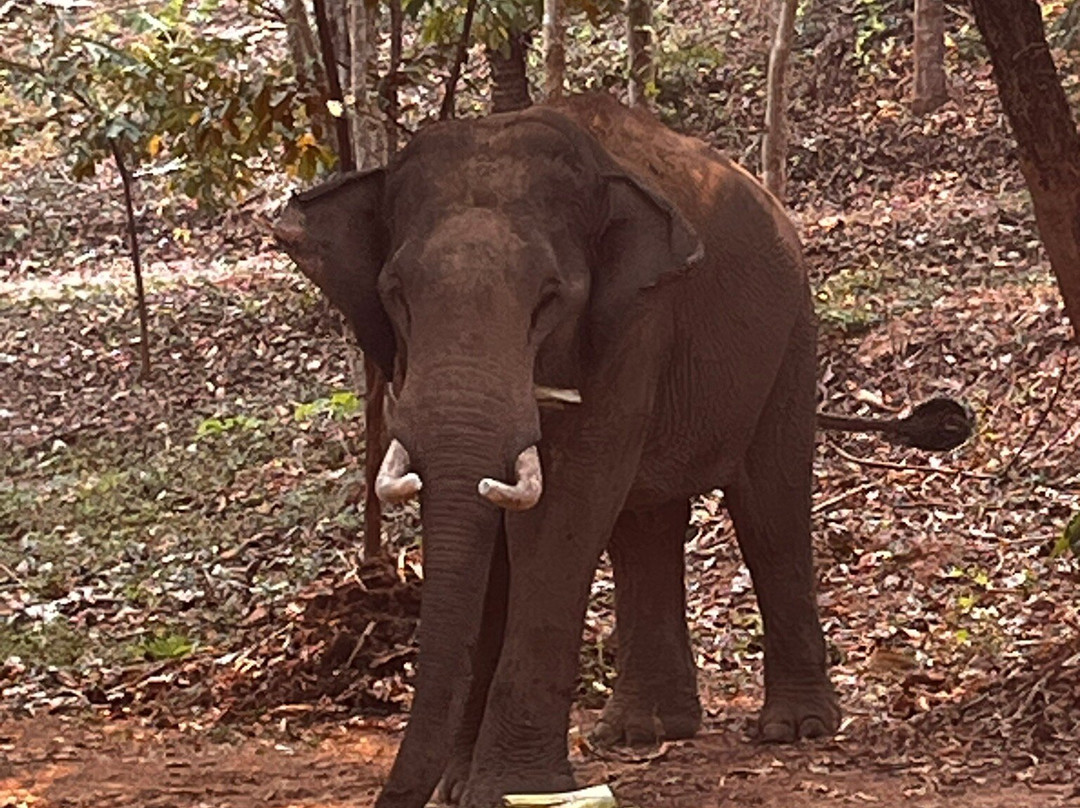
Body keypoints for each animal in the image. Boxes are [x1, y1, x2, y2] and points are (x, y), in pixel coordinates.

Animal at [273, 93, 970, 808]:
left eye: (549, 299)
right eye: (395, 296)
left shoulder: (639, 322)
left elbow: (566, 508)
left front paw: (510, 788)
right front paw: (464, 789)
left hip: (791, 342)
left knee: (769, 509)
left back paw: (795, 727)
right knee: (646, 526)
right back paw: (642, 731)